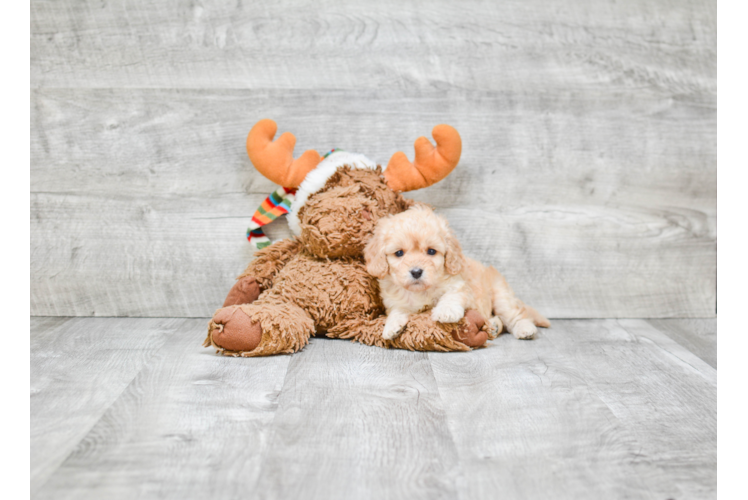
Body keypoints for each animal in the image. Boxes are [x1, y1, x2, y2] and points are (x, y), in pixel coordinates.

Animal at [364, 203, 548, 340]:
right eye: (399, 253)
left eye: (431, 251)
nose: (416, 272)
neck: (421, 291)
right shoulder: (394, 300)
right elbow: (397, 310)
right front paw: (391, 326)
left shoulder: (461, 286)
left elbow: (451, 295)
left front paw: (446, 312)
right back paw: (495, 326)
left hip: (501, 295)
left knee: (515, 314)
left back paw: (524, 329)